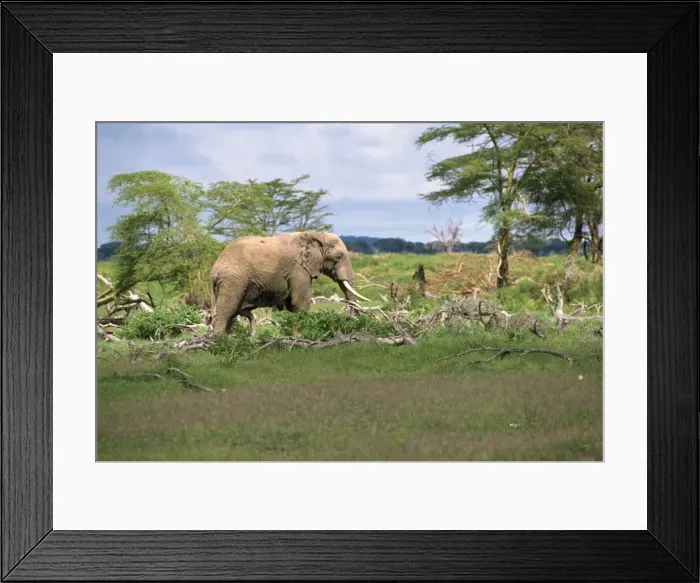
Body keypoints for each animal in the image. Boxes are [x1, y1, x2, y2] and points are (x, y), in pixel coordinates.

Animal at [208, 230, 370, 337]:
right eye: (338, 257)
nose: (351, 319)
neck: (316, 235)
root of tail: (214, 270)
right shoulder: (298, 269)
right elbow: (300, 302)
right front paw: (301, 338)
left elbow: (292, 305)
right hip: (233, 281)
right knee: (226, 311)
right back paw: (219, 343)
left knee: (231, 314)